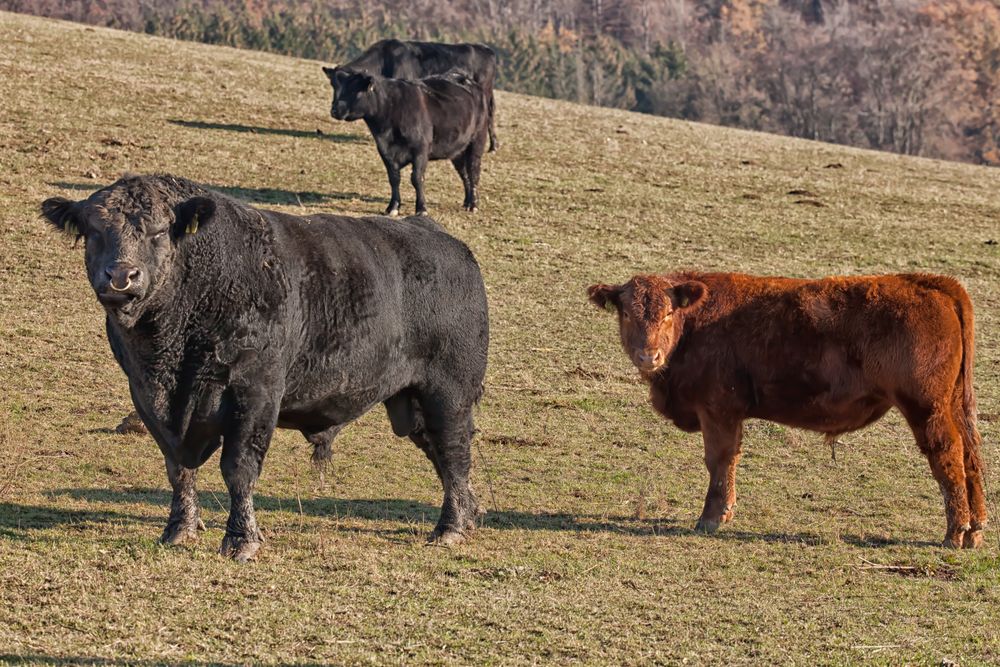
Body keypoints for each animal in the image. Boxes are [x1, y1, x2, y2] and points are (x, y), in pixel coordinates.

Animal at [324, 68, 488, 215]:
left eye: (354, 91)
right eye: (338, 89)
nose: (334, 110)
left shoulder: (420, 149)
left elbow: (417, 178)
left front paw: (421, 209)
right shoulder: (385, 150)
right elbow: (394, 178)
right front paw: (393, 207)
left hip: (477, 141)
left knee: (473, 172)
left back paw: (473, 205)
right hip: (458, 150)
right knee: (464, 174)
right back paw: (467, 202)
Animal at [584, 272, 984, 548]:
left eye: (668, 313)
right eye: (626, 313)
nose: (648, 356)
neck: (696, 325)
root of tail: (929, 283)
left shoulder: (718, 410)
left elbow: (719, 460)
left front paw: (711, 517)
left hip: (927, 410)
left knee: (948, 456)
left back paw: (954, 532)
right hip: (954, 406)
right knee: (971, 457)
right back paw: (975, 530)